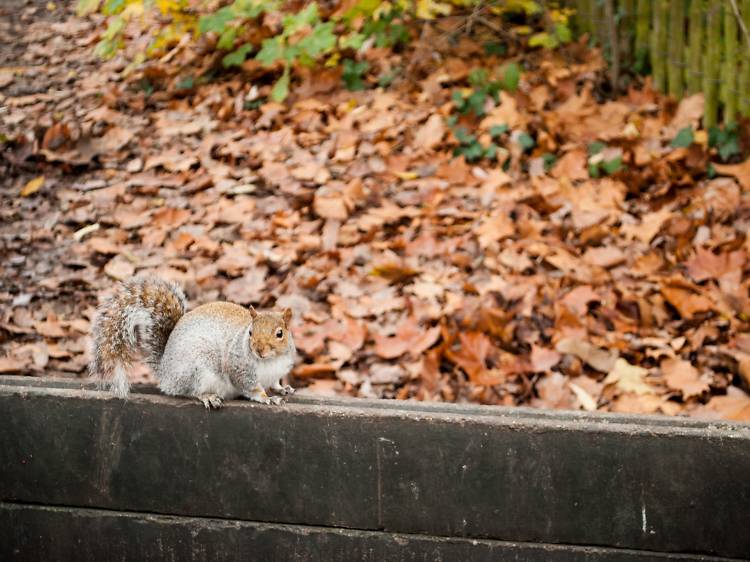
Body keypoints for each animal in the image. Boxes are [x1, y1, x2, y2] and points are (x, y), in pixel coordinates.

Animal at [89, 276, 296, 406]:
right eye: (251, 332)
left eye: (280, 334)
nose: (259, 350)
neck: (270, 361)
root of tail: (165, 372)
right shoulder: (240, 369)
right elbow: (250, 388)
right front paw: (267, 398)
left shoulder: (278, 371)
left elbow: (275, 383)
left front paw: (283, 389)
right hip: (197, 369)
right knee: (191, 391)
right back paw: (208, 397)